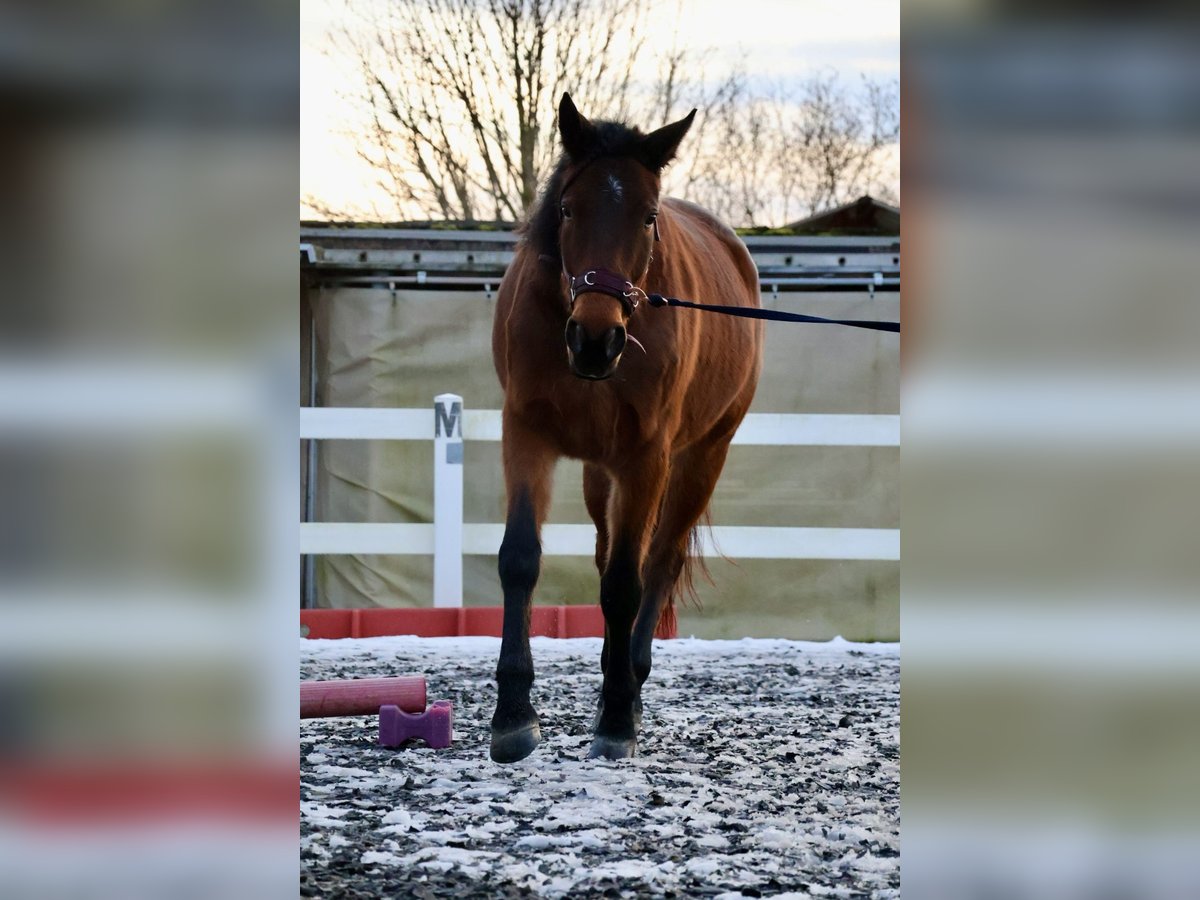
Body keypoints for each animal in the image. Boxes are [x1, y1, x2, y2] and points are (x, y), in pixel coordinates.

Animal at [487, 93, 758, 763]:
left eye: (648, 218)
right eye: (566, 209)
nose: (595, 339)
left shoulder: (646, 457)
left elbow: (625, 586)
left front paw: (615, 718)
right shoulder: (525, 435)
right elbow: (521, 559)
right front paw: (513, 715)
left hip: (700, 460)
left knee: (656, 563)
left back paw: (628, 686)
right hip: (598, 475)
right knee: (609, 552)